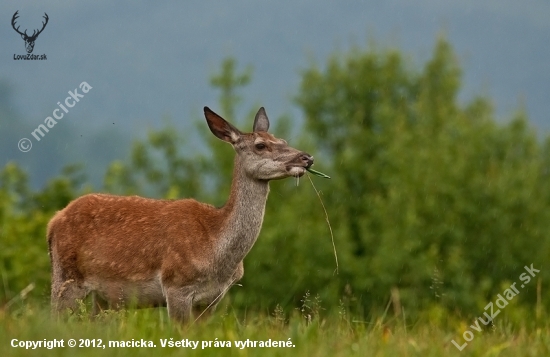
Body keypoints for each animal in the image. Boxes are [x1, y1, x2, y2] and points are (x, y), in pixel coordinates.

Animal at [47, 106, 314, 322]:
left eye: (283, 139)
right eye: (260, 145)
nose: (306, 157)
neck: (216, 248)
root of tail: (53, 221)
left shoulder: (212, 299)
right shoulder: (176, 285)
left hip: (103, 296)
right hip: (66, 278)